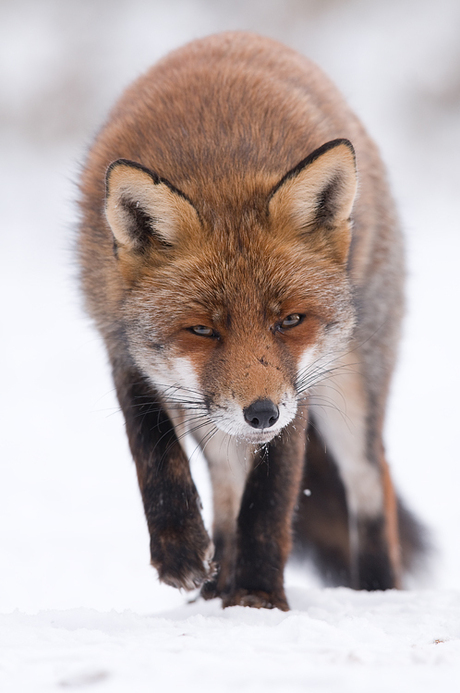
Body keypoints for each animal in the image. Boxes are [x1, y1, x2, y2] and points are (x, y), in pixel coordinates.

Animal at [77, 31, 426, 612]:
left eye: (290, 320)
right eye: (202, 329)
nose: (261, 413)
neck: (219, 165)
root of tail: (240, 35)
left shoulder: (296, 388)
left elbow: (270, 498)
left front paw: (260, 596)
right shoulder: (122, 343)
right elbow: (153, 450)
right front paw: (182, 553)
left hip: (354, 389)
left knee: (371, 486)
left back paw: (377, 591)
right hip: (213, 414)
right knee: (225, 487)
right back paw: (216, 586)